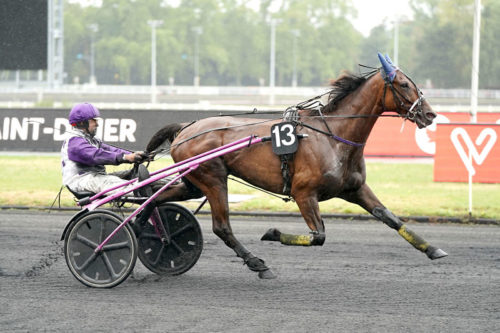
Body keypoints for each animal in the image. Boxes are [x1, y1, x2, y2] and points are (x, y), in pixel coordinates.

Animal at [146, 53, 448, 278]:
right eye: (403, 84)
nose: (430, 114)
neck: (333, 136)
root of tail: (186, 127)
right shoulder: (304, 193)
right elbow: (318, 236)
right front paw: (272, 232)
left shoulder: (355, 189)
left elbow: (390, 217)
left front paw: (433, 249)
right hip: (213, 179)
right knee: (222, 227)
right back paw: (258, 263)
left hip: (194, 183)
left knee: (154, 201)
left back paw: (156, 234)